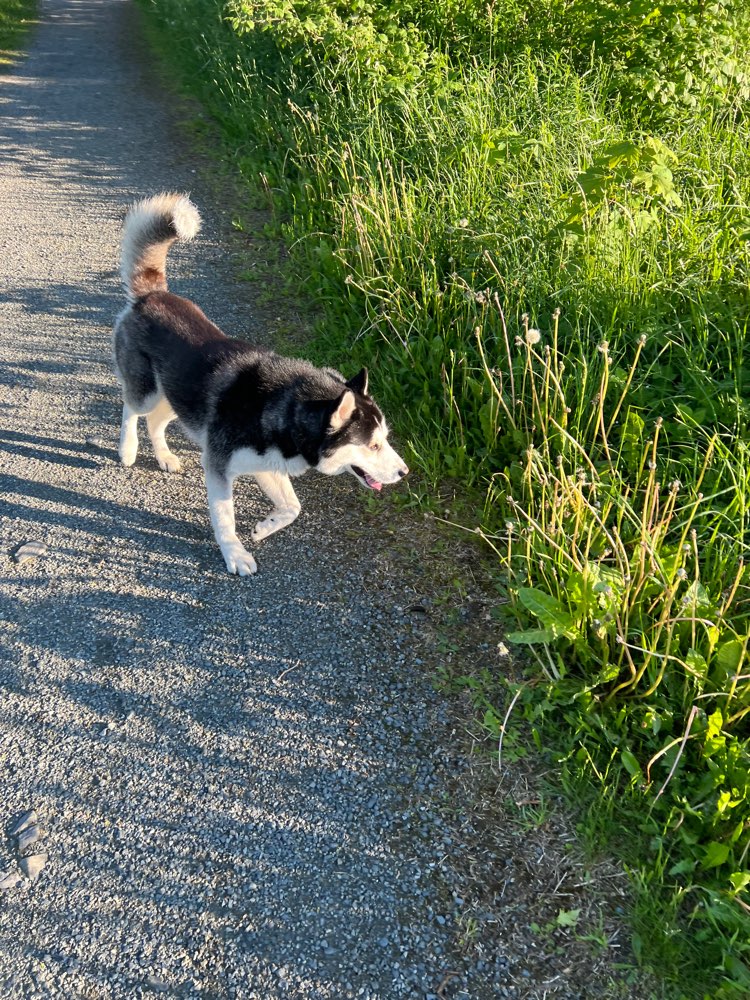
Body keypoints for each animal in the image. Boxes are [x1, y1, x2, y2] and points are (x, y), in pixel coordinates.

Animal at [112, 191, 412, 576]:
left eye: (385, 439)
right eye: (373, 445)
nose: (404, 472)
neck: (284, 410)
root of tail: (153, 295)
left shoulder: (268, 467)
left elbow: (293, 508)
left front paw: (264, 527)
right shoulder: (218, 468)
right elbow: (225, 519)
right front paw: (235, 555)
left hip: (178, 400)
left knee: (155, 422)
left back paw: (164, 457)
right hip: (148, 390)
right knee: (131, 409)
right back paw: (128, 449)